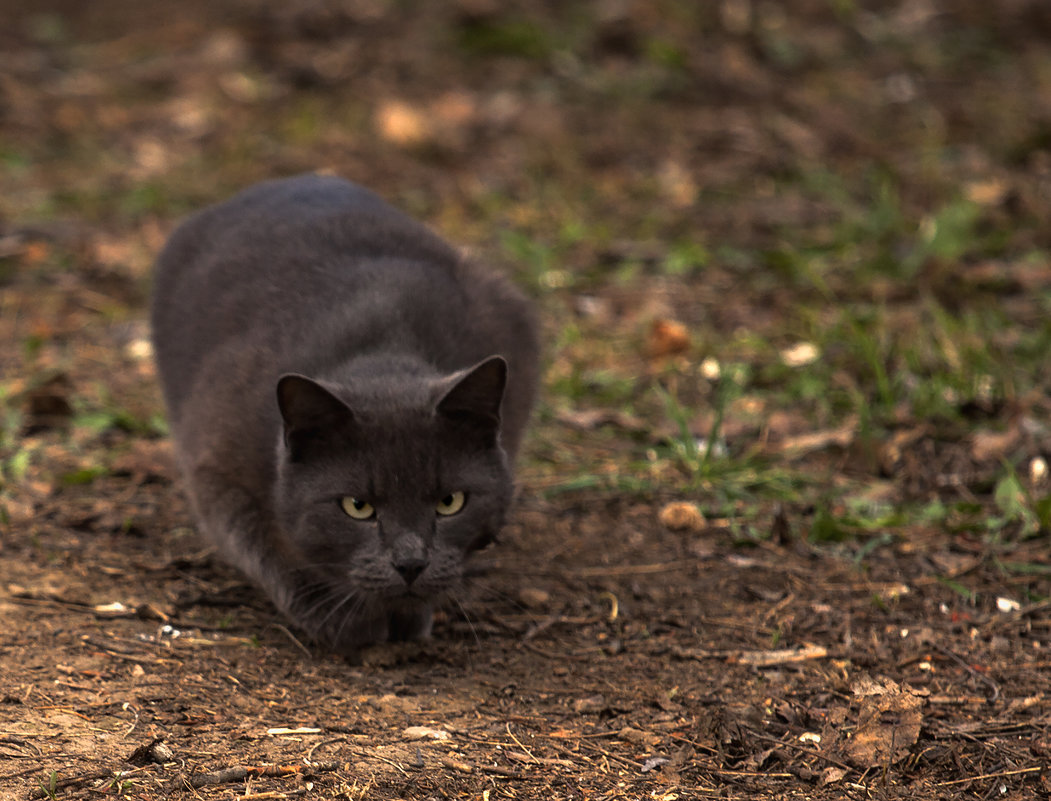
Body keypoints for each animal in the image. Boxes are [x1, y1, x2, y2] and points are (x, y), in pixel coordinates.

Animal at [150, 173, 542, 647]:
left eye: (451, 502)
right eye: (357, 506)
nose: (411, 563)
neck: (383, 350)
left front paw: (412, 614)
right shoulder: (216, 462)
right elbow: (265, 546)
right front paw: (345, 619)